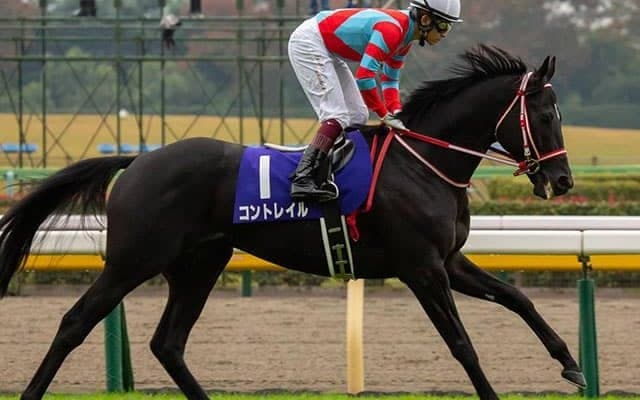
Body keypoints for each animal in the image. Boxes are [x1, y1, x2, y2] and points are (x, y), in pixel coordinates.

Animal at [0, 44, 585, 400]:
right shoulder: (422, 268)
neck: (423, 162)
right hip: (134, 259)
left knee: (168, 342)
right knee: (76, 322)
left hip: (199, 264)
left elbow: (518, 298)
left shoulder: (450, 260)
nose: (562, 181)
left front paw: (570, 364)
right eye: (545, 116)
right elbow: (462, 343)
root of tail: (139, 160)